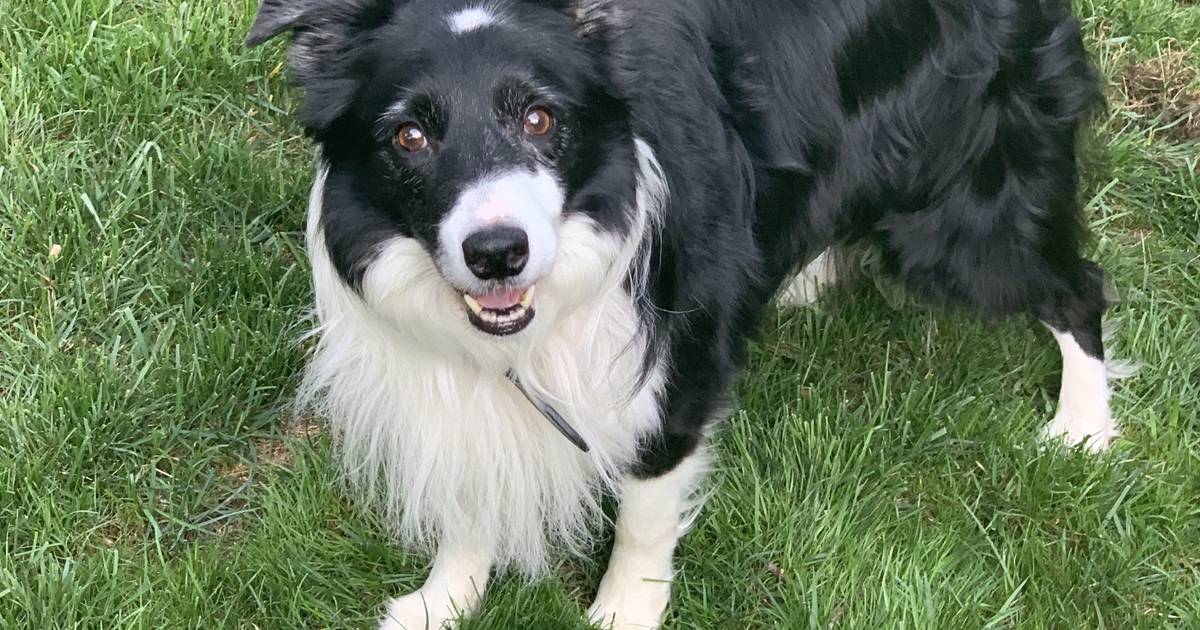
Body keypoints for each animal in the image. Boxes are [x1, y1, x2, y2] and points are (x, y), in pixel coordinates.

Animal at [246, 1, 1113, 624]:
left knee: (1080, 288)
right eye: (408, 135)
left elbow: (644, 514)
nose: (497, 253)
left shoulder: (675, 379)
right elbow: (471, 489)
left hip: (969, 221)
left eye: (539, 119)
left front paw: (622, 612)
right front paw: (443, 601)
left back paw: (1084, 427)